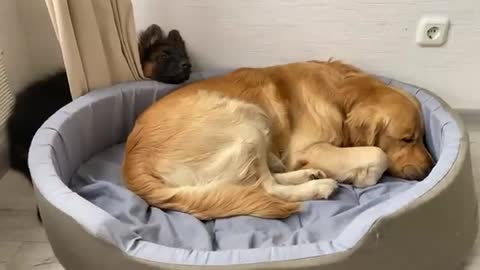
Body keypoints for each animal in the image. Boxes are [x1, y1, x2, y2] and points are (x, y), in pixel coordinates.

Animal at [122, 59, 434, 219]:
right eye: (407, 139)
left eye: (422, 137)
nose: (431, 168)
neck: (342, 94)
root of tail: (131, 165)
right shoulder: (307, 148)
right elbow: (377, 153)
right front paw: (365, 174)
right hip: (244, 120)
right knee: (266, 187)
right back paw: (318, 186)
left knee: (268, 178)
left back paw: (309, 176)